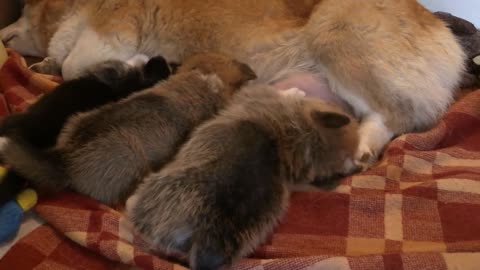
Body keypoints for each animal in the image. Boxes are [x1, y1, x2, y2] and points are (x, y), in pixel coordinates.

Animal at [0, 0, 464, 168]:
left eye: (23, 9)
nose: (3, 35)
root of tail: (445, 37)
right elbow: (62, 62)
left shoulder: (112, 27)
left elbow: (73, 63)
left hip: (336, 36)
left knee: (398, 115)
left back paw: (366, 145)